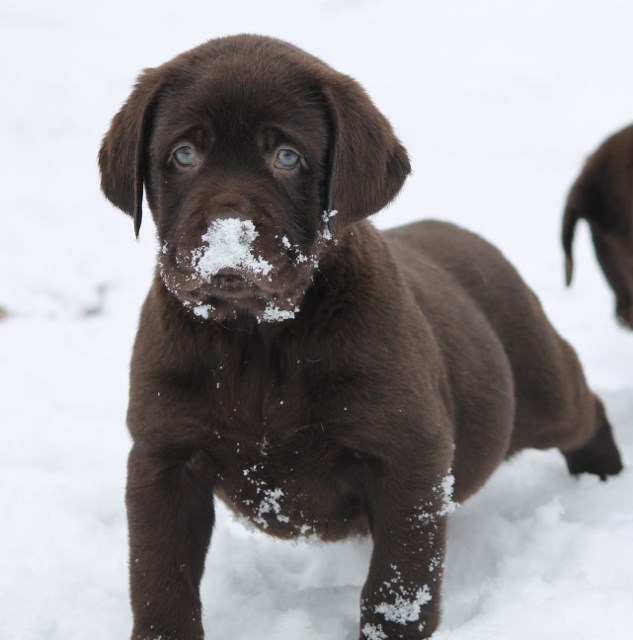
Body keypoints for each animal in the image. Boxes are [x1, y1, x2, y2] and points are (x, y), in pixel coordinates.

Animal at [99, 35, 624, 640]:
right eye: (184, 155)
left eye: (287, 157)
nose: (227, 242)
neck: (259, 338)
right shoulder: (163, 459)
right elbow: (161, 579)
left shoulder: (409, 456)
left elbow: (398, 585)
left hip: (539, 394)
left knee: (583, 403)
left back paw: (602, 476)